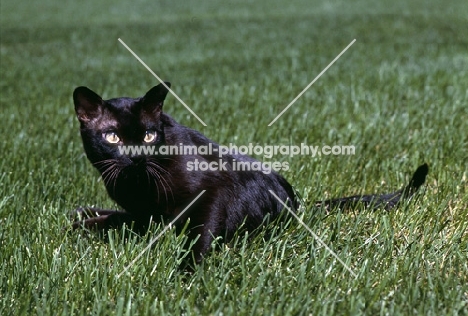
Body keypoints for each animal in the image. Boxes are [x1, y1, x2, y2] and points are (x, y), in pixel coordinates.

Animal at [72, 82, 428, 262]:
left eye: (147, 135)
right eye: (113, 137)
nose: (135, 156)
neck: (135, 186)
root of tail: (298, 203)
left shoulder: (211, 191)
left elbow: (201, 235)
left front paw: (187, 274)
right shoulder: (145, 212)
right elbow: (124, 218)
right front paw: (89, 219)